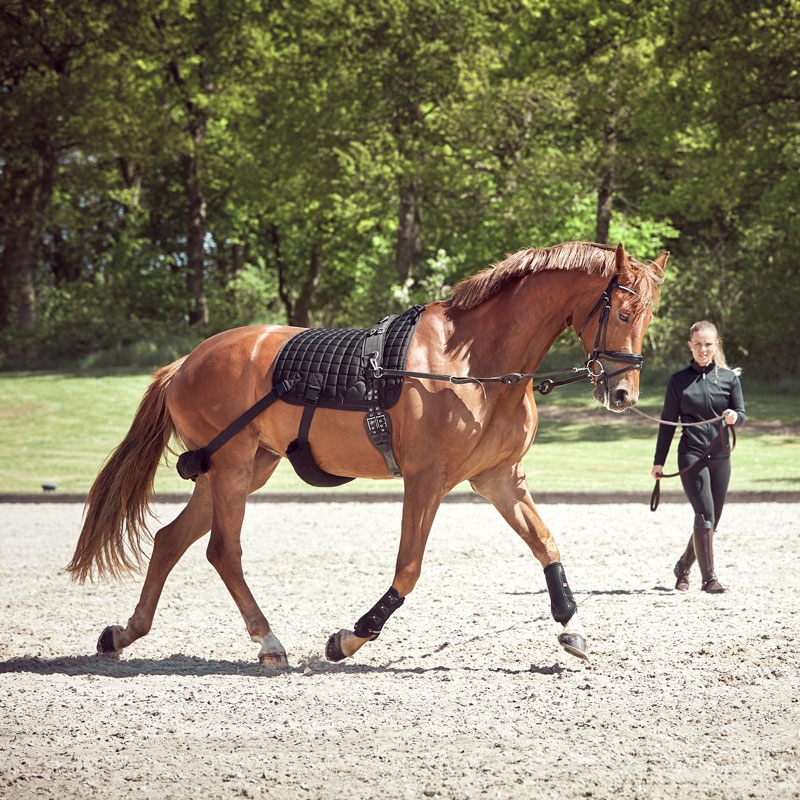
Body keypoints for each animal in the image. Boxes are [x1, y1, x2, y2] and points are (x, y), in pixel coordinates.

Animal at [67, 241, 668, 664]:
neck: (472, 363)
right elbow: (408, 569)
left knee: (170, 541)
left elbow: (546, 545)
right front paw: (350, 637)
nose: (623, 394)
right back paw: (268, 641)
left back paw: (125, 633)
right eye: (621, 313)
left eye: (648, 317)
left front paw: (572, 626)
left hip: (242, 469)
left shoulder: (500, 479)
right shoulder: (426, 481)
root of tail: (186, 362)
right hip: (233, 468)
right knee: (223, 552)